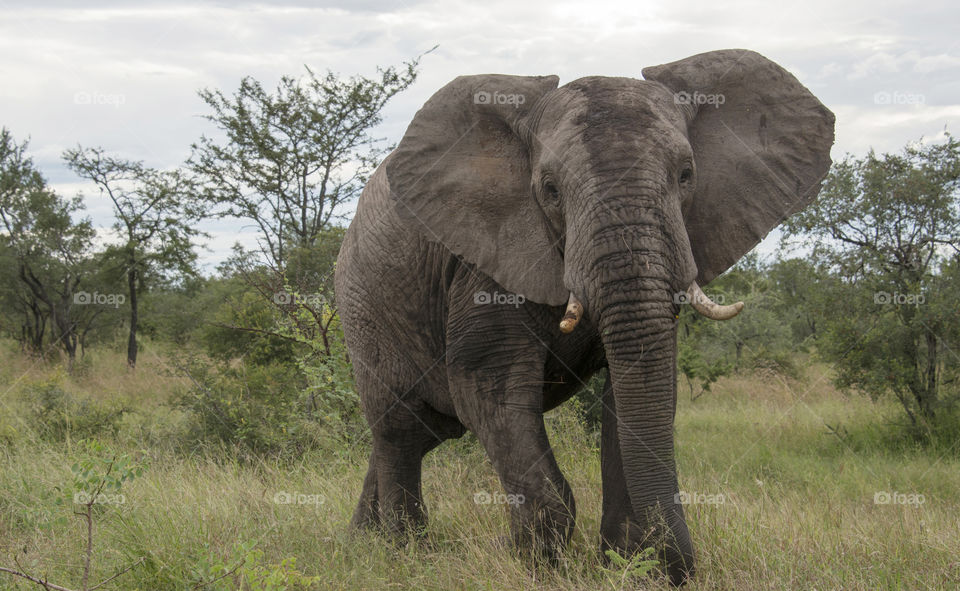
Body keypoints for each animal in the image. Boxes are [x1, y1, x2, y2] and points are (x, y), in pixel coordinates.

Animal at [334, 48, 834, 585]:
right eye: (550, 189)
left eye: (686, 175)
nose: (675, 572)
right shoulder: (483, 263)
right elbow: (488, 386)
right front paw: (541, 570)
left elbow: (638, 389)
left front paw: (623, 563)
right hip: (363, 304)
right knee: (400, 429)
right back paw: (403, 554)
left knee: (417, 433)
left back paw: (360, 544)